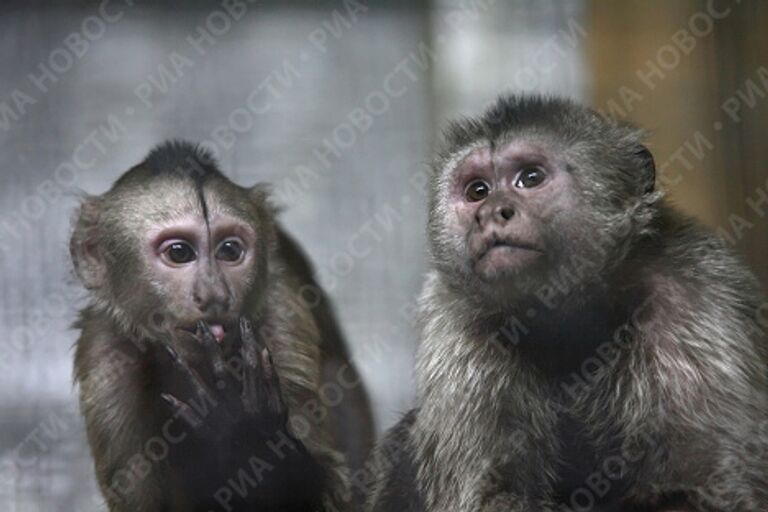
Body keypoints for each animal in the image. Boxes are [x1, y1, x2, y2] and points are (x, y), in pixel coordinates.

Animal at [70, 140, 374, 512]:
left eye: (230, 250)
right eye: (180, 252)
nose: (214, 294)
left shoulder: (281, 314)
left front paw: (245, 432)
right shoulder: (105, 356)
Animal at [366, 96, 768, 512]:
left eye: (530, 178)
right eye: (478, 190)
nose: (490, 212)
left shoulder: (693, 292)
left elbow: (703, 491)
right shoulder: (452, 316)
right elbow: (491, 495)